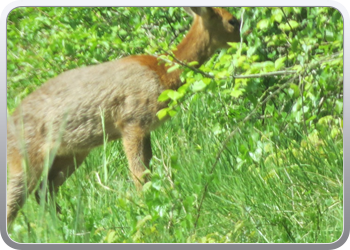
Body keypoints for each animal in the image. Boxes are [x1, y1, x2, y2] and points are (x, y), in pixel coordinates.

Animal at [6, 6, 241, 229]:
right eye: (232, 21)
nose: (242, 40)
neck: (164, 73)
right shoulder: (131, 121)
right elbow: (139, 174)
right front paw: (147, 211)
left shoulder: (145, 128)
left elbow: (148, 169)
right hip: (26, 156)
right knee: (16, 199)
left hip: (71, 153)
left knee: (44, 189)